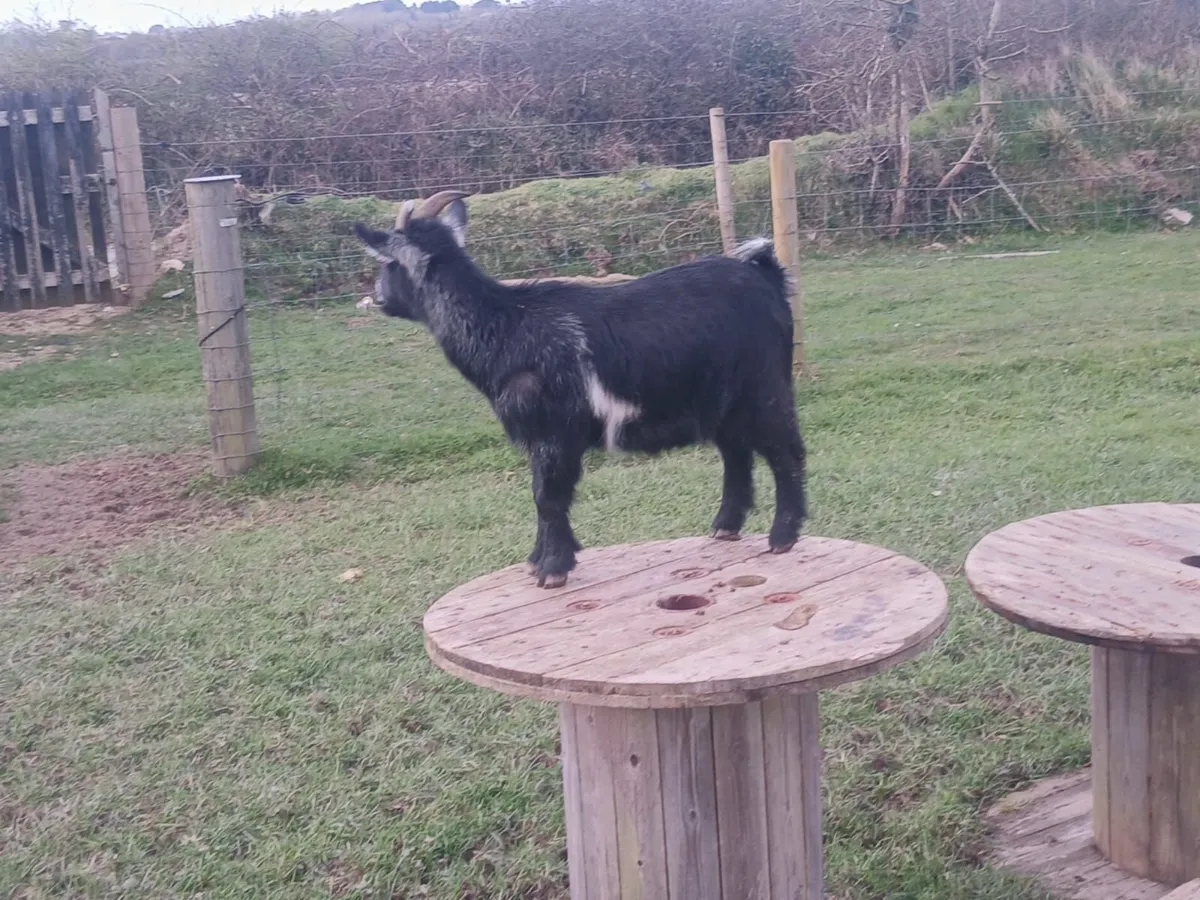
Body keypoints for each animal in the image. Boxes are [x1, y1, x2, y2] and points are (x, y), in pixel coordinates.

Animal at [354, 190, 808, 589]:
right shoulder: (540, 437)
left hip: (764, 387)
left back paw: (782, 536)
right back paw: (725, 527)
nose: (377, 298)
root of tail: (764, 275)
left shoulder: (556, 430)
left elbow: (548, 495)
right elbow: (543, 495)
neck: (508, 327)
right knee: (736, 454)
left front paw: (552, 568)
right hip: (721, 401)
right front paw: (540, 559)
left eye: (388, 263)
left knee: (785, 452)